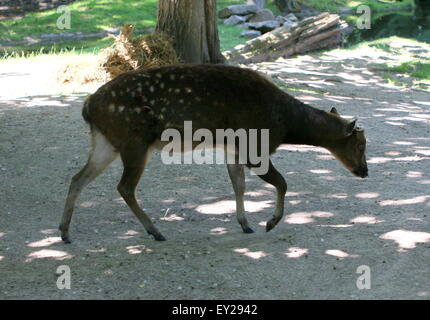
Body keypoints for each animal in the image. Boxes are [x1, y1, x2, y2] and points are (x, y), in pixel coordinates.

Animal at [60, 63, 368, 242]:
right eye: (361, 144)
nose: (365, 171)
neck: (285, 125)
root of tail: (88, 106)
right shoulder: (256, 147)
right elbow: (282, 182)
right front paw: (270, 222)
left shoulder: (234, 148)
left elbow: (238, 185)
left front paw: (246, 224)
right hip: (134, 142)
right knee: (124, 187)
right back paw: (156, 231)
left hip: (107, 142)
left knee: (77, 178)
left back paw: (64, 232)